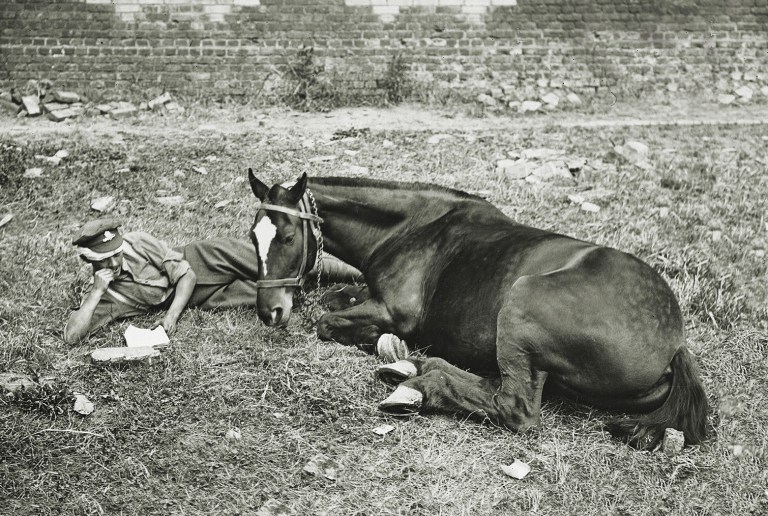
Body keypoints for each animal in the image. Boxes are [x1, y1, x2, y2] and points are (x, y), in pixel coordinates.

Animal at [247, 170, 708, 450]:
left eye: (287, 237)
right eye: (253, 236)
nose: (269, 311)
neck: (413, 227)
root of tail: (675, 346)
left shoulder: (395, 311)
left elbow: (327, 322)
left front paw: (380, 341)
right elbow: (336, 299)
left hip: (521, 304)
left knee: (514, 407)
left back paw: (418, 386)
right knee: (491, 385)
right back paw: (414, 369)